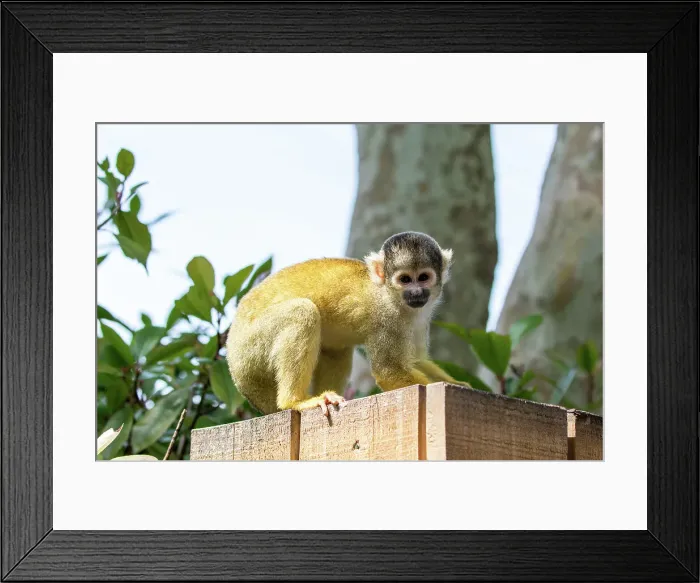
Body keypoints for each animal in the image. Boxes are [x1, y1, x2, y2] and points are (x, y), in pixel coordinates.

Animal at [225, 231, 462, 417]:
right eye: (404, 279)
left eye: (423, 277)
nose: (416, 293)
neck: (391, 295)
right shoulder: (387, 318)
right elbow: (388, 372)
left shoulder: (421, 314)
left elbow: (417, 359)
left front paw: (461, 385)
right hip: (251, 348)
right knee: (301, 313)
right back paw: (295, 401)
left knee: (336, 348)